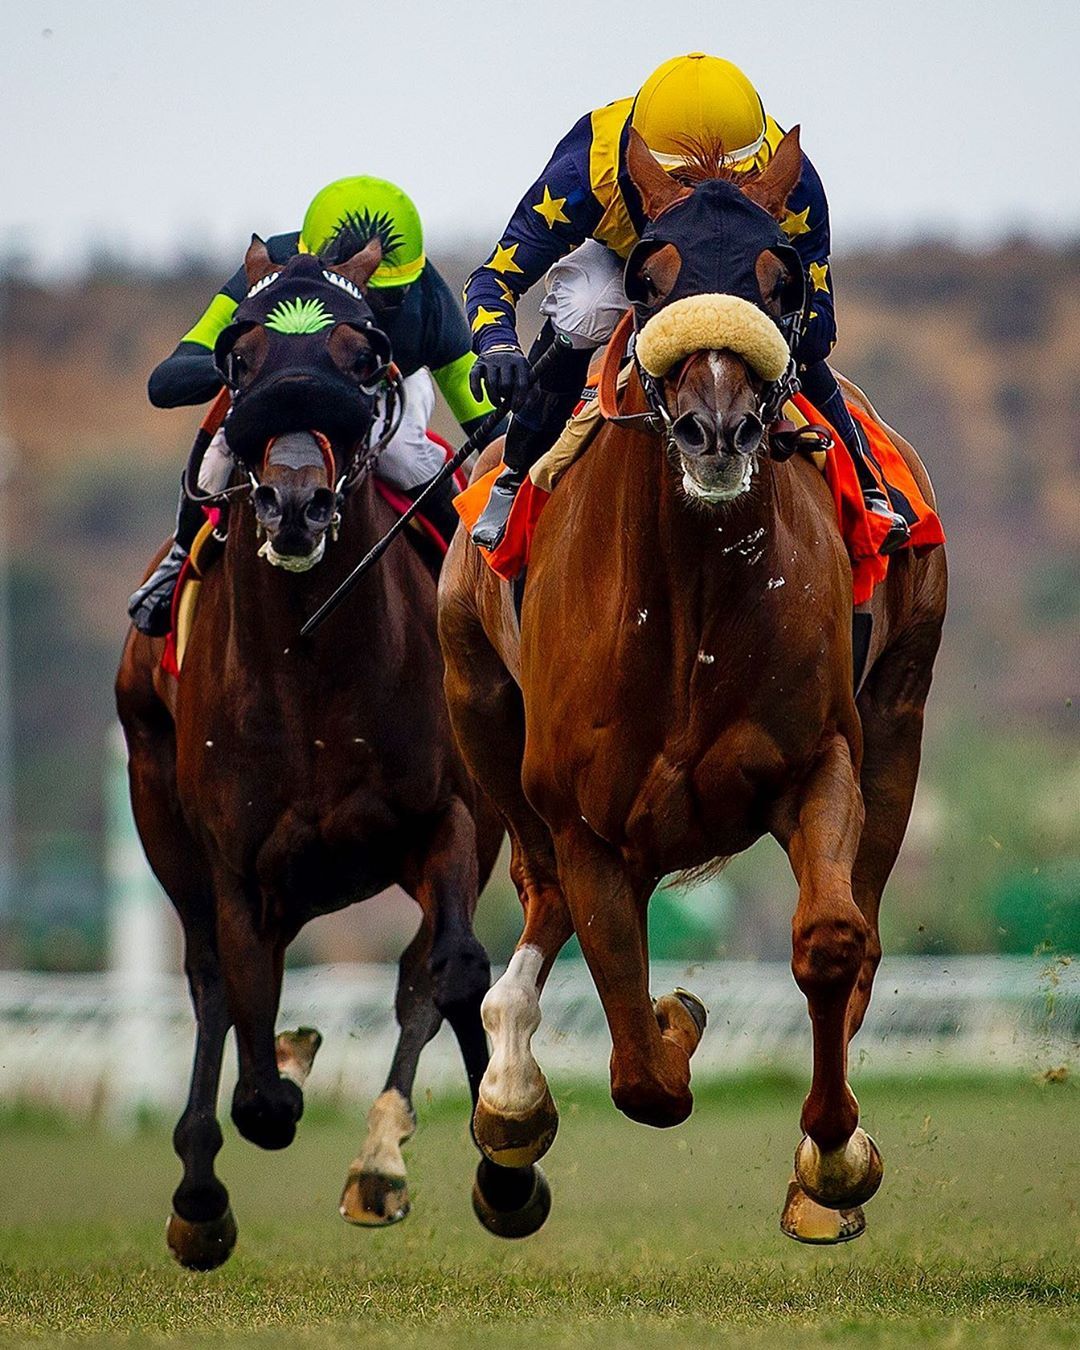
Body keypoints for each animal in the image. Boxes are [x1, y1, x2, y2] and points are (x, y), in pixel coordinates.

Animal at [116, 240, 545, 1269]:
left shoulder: (449, 820)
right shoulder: (234, 865)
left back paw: (392, 1159)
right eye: (239, 360)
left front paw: (502, 1167)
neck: (312, 666)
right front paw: (273, 1084)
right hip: (162, 824)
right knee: (210, 985)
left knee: (422, 973)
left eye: (361, 356)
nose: (296, 503)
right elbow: (255, 1069)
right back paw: (202, 1190)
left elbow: (453, 968)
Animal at [439, 129, 947, 1244]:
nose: (718, 430)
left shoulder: (819, 761)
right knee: (540, 896)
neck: (693, 606)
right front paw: (670, 1023)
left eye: (781, 277)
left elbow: (831, 942)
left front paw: (833, 1158)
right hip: (480, 709)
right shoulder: (587, 821)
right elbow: (641, 1071)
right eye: (650, 275)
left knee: (865, 929)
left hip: (899, 713)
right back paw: (510, 1099)